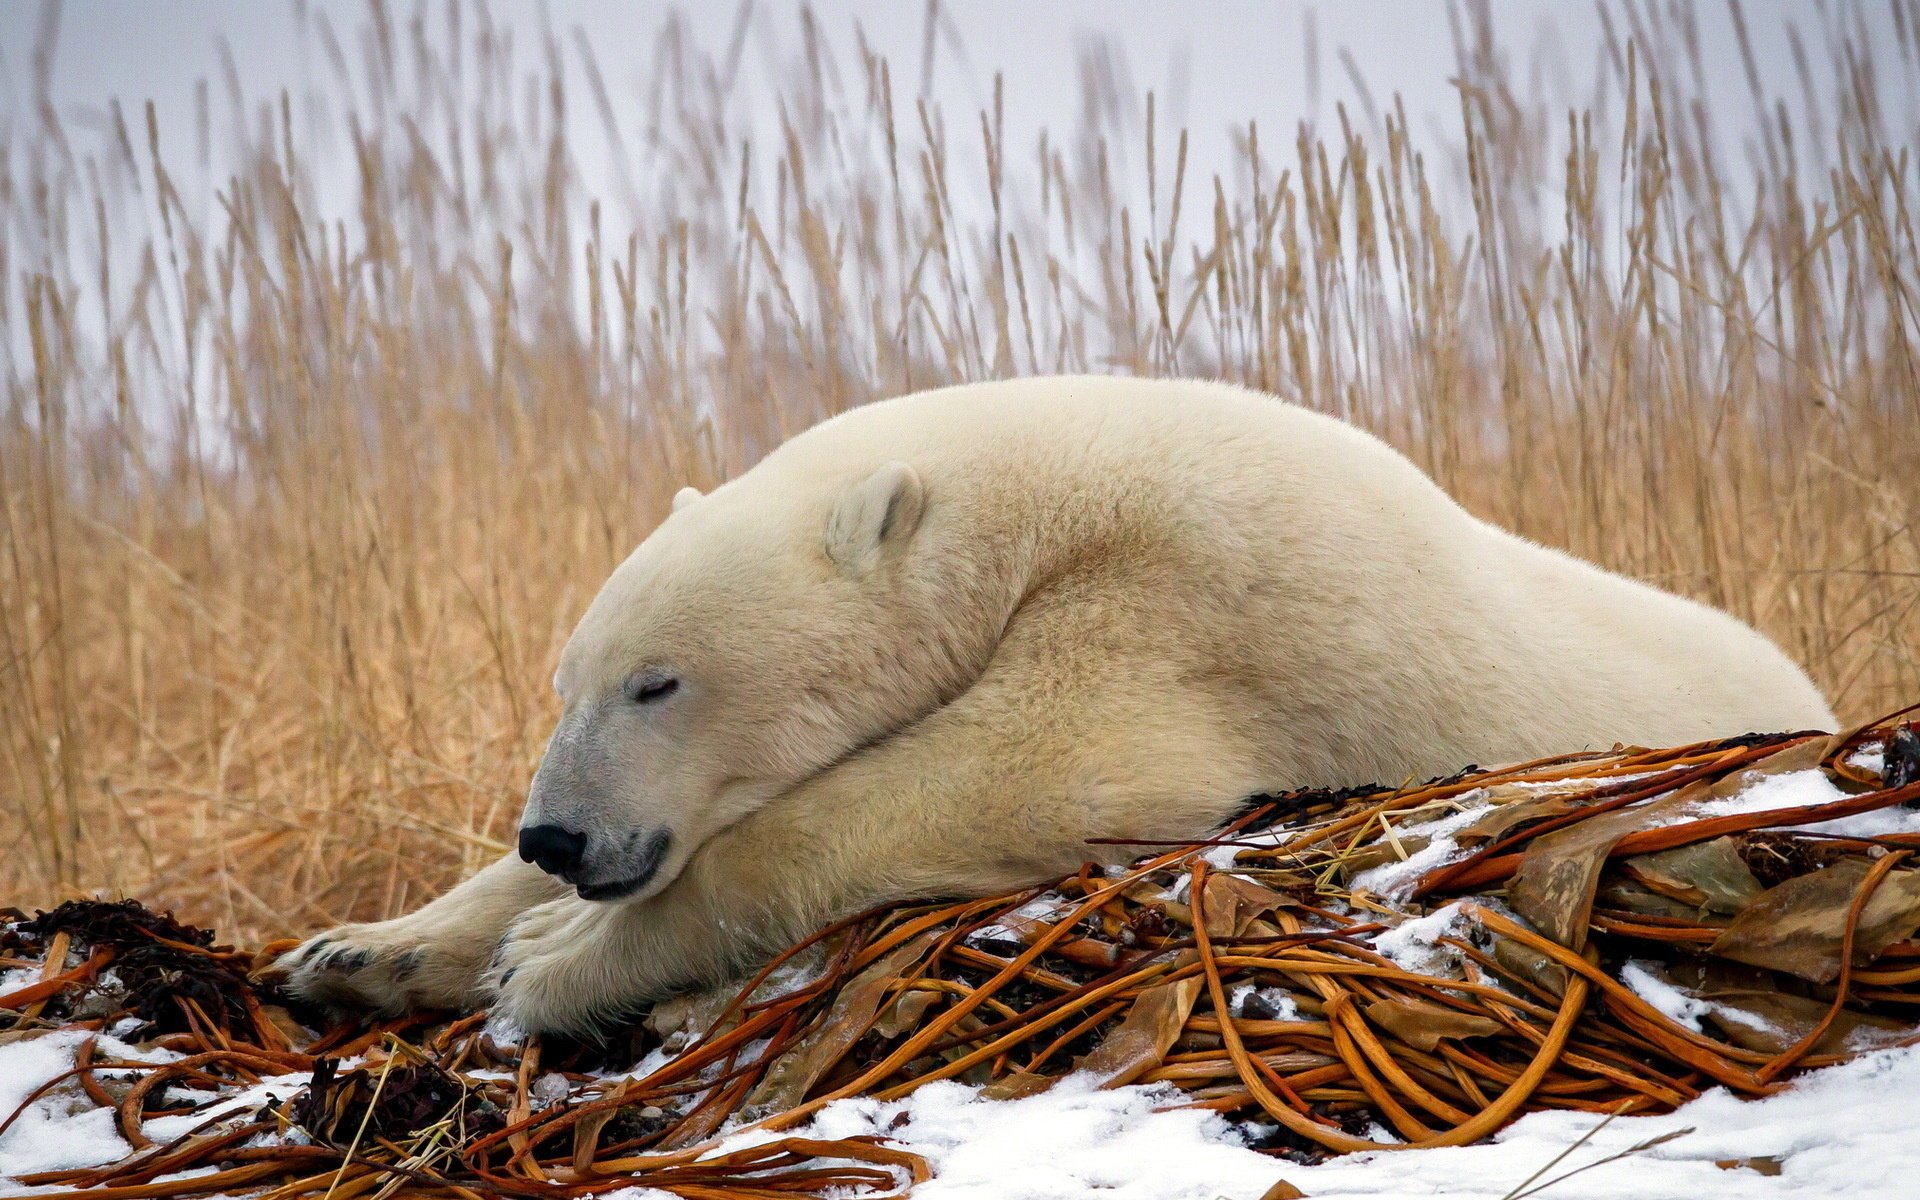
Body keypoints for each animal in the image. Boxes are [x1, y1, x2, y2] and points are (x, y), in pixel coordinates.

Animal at [278, 375, 1837, 1035]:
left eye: (658, 681)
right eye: (568, 680)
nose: (558, 837)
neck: (1041, 492)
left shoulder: (1179, 599)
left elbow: (1027, 776)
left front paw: (549, 965)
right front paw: (362, 953)